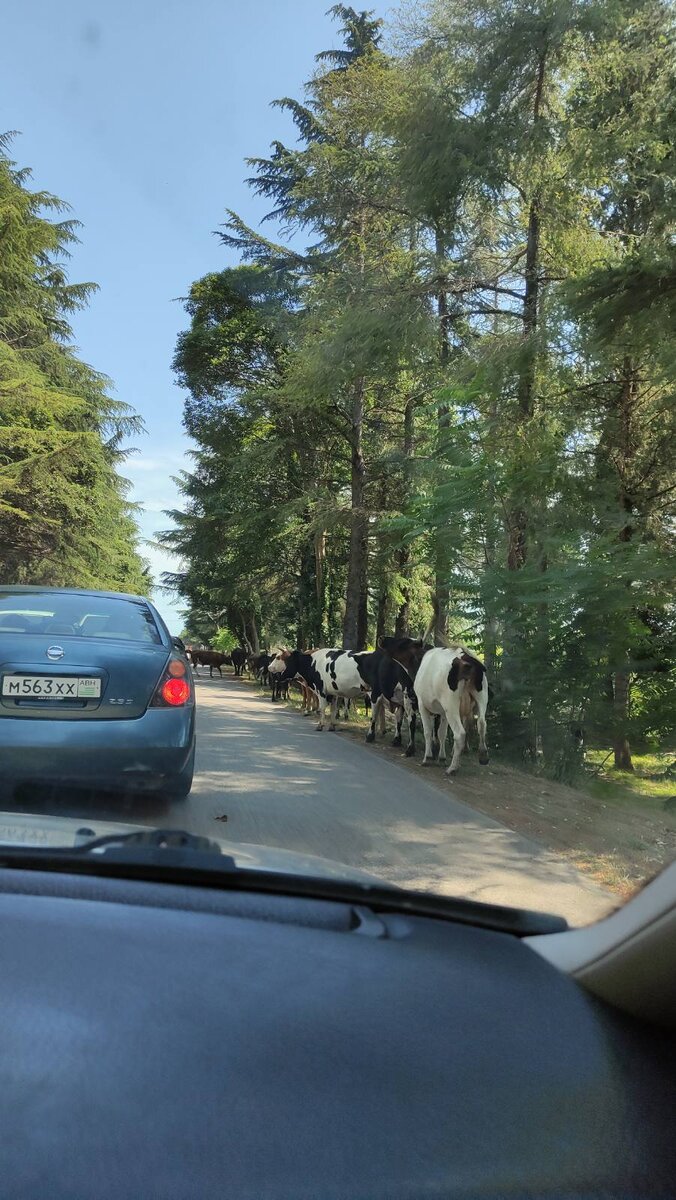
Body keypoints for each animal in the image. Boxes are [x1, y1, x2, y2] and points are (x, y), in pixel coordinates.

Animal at [381, 638, 487, 777]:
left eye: (402, 643)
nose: (382, 639)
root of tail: (465, 658)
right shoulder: (442, 712)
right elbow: (441, 733)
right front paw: (441, 757)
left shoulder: (422, 704)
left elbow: (428, 731)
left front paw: (428, 757)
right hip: (481, 699)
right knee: (482, 724)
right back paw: (483, 756)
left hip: (451, 706)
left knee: (460, 733)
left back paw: (453, 768)